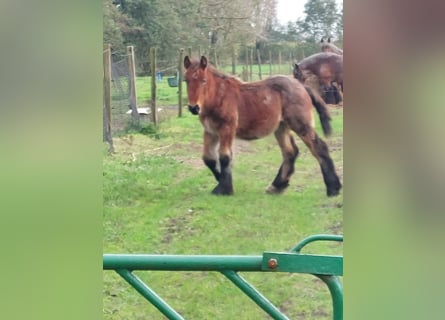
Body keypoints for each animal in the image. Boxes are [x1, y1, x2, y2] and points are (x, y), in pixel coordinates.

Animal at [182, 55, 342, 198]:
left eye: (203, 81)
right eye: (186, 80)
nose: (193, 108)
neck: (218, 97)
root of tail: (303, 86)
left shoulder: (227, 129)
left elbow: (225, 157)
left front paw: (224, 189)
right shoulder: (210, 131)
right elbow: (208, 158)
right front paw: (220, 180)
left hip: (301, 125)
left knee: (319, 148)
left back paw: (333, 188)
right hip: (281, 127)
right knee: (290, 152)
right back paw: (277, 186)